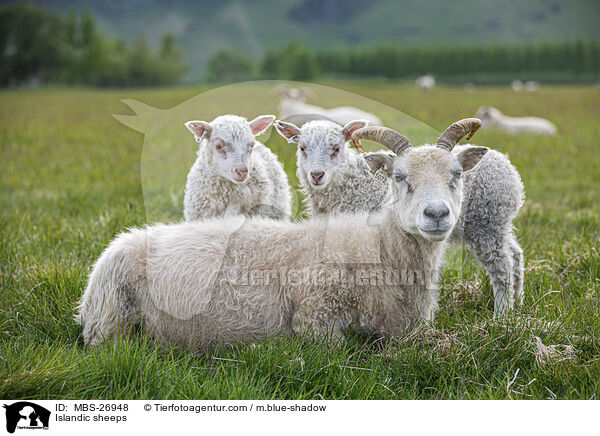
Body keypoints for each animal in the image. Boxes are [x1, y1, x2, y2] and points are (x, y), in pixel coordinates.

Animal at [75, 118, 490, 348]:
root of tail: (117, 243)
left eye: (456, 175)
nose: (436, 214)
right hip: (110, 320)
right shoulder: (315, 319)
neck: (381, 248)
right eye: (399, 178)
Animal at [274, 116, 524, 314]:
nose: (317, 175)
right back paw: (517, 304)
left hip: (487, 225)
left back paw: (502, 315)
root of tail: (506, 165)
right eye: (302, 148)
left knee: (502, 266)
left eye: (336, 148)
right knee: (515, 254)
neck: (350, 184)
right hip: (497, 224)